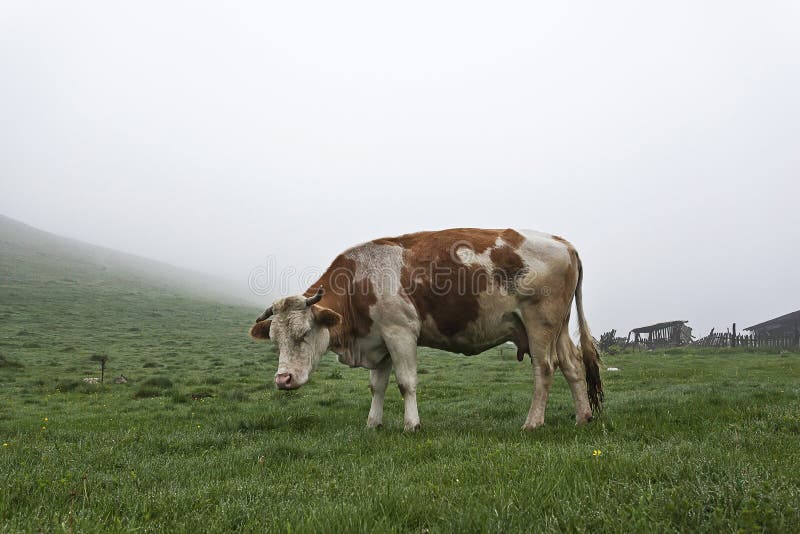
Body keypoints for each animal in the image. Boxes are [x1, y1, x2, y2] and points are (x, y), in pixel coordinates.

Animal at [248, 228, 600, 434]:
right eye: (275, 339)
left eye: (304, 333)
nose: (283, 379)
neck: (358, 282)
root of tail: (563, 243)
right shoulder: (379, 341)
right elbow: (377, 386)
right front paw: (373, 423)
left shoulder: (400, 332)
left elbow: (406, 383)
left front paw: (411, 424)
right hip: (558, 326)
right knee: (572, 366)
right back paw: (583, 416)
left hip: (540, 322)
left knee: (544, 368)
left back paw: (532, 422)